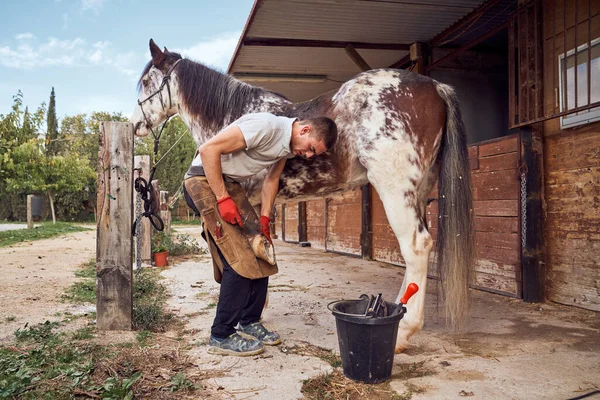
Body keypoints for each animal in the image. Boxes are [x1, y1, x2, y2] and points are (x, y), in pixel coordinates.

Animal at [131, 39, 474, 354]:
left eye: (147, 82)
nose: (135, 125)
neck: (232, 114)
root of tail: (436, 86)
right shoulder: (258, 204)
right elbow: (261, 249)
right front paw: (255, 315)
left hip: (395, 188)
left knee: (416, 246)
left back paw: (403, 333)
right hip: (419, 191)